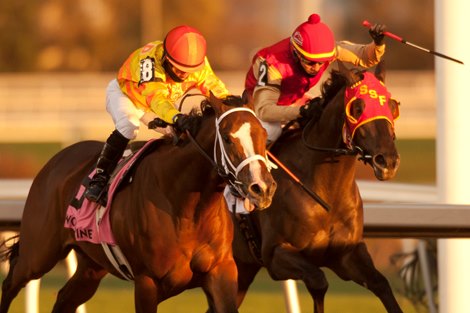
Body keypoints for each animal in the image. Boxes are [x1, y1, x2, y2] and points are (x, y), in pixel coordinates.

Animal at [0, 92, 278, 312]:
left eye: (263, 133)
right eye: (229, 138)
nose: (262, 188)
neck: (187, 209)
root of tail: (55, 161)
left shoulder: (220, 273)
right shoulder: (147, 282)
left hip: (91, 266)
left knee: (64, 299)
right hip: (39, 253)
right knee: (12, 280)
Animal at [233, 62, 402, 310]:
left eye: (392, 106)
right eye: (357, 108)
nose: (388, 161)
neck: (326, 193)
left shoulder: (346, 254)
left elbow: (381, 284)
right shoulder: (275, 254)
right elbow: (318, 281)